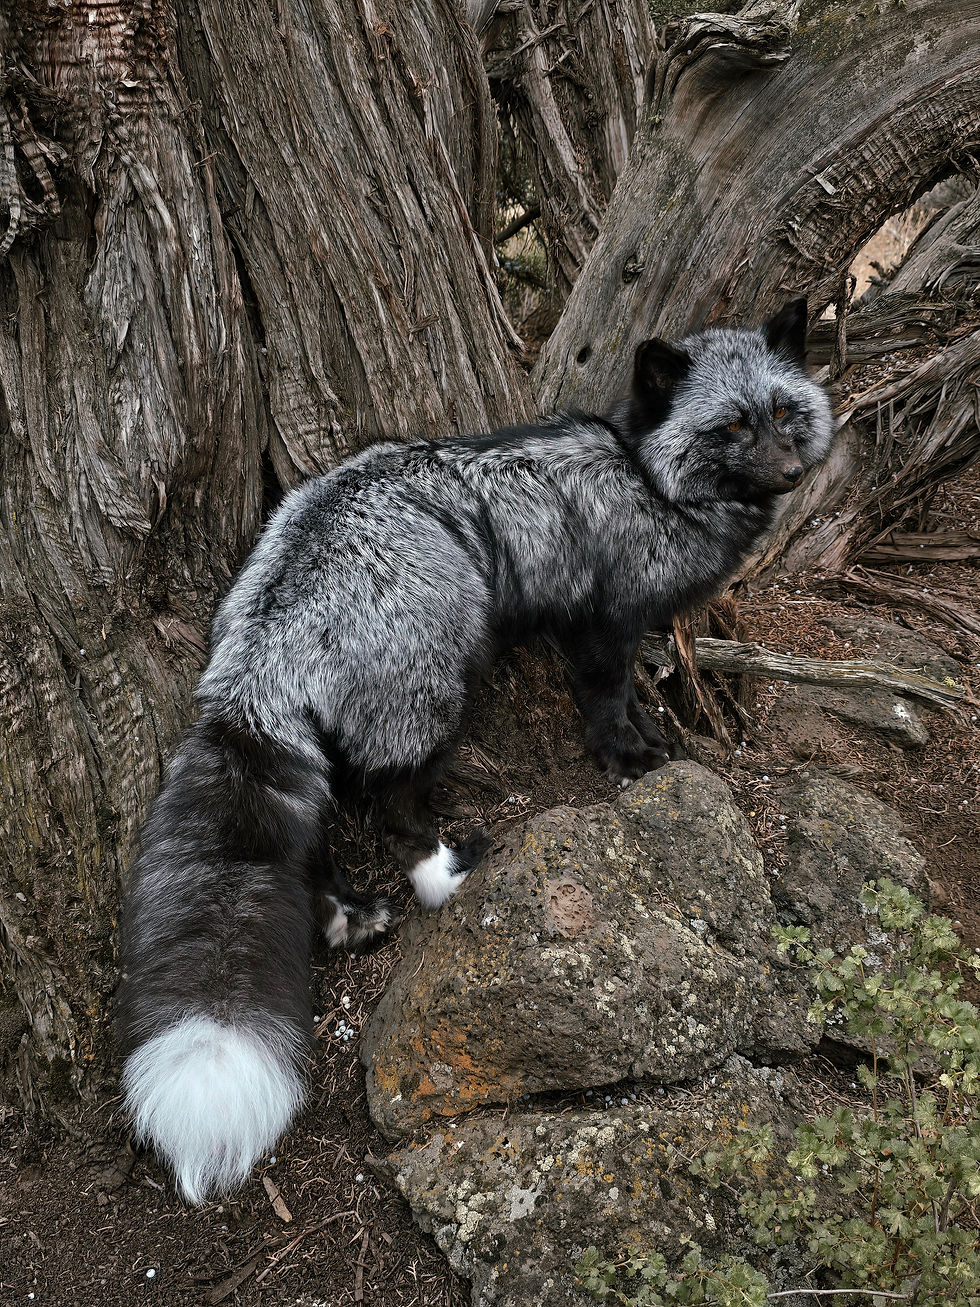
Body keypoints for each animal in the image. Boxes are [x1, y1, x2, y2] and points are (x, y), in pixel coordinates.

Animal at [117, 298, 834, 1203]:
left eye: (782, 411)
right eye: (731, 425)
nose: (791, 472)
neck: (647, 478)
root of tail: (266, 645)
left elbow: (634, 701)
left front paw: (654, 737)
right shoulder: (601, 626)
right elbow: (607, 705)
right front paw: (630, 762)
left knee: (318, 841)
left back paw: (347, 916)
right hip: (434, 703)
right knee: (392, 813)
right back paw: (444, 874)